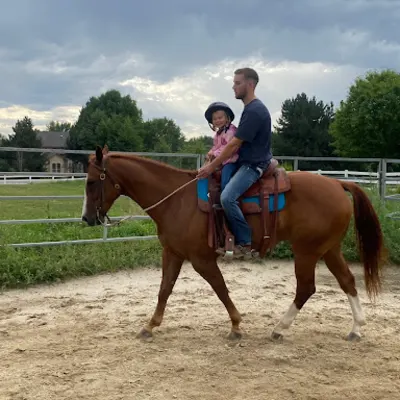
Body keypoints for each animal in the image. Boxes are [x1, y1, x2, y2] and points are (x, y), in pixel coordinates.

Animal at [82, 145, 388, 342]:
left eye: (91, 182)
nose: (87, 218)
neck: (176, 199)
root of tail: (337, 185)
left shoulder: (202, 259)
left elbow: (220, 289)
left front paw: (236, 326)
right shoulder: (172, 253)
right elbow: (164, 290)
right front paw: (150, 326)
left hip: (307, 251)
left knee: (306, 288)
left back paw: (280, 328)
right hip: (329, 249)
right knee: (347, 281)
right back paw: (356, 328)